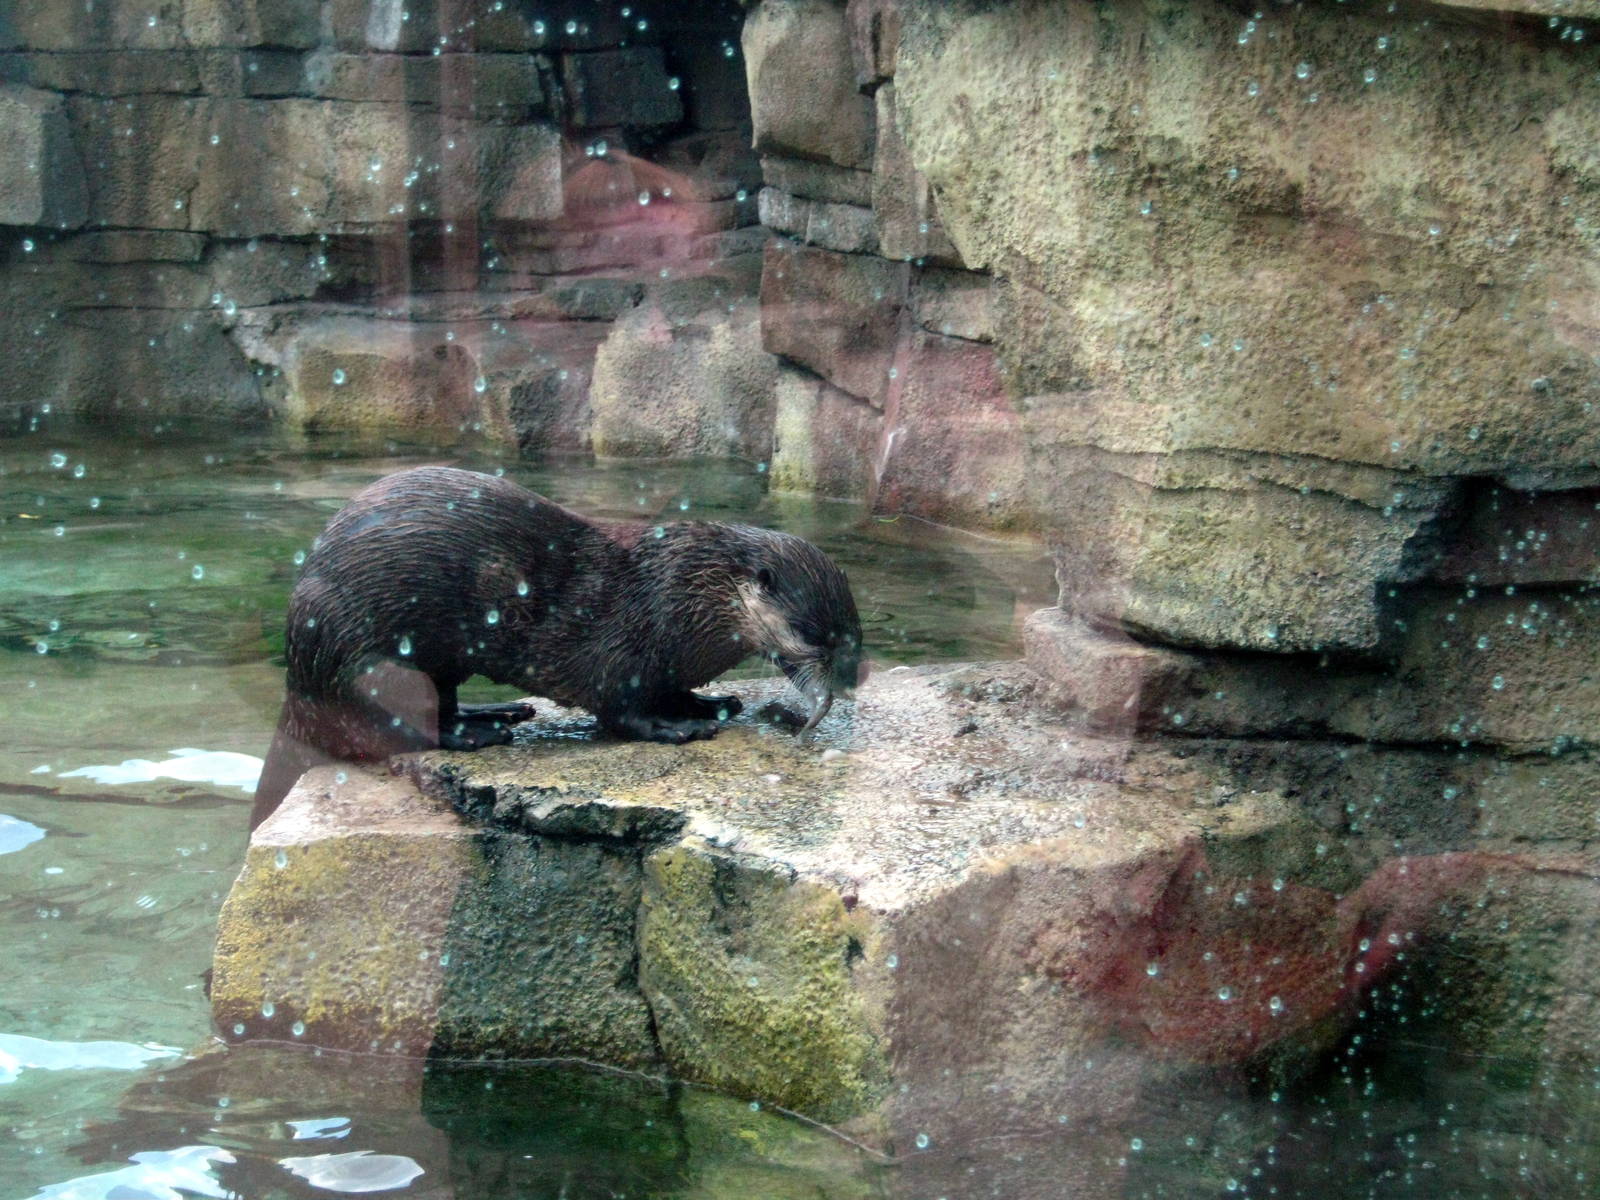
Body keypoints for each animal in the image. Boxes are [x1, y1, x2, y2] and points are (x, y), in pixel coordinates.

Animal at [250, 465, 862, 829]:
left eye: (855, 633)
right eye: (815, 634)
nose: (852, 678)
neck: (681, 591)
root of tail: (296, 678)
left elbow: (670, 689)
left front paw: (707, 702)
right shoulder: (623, 647)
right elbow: (620, 710)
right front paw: (678, 725)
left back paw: (492, 712)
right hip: (364, 653)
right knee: (392, 724)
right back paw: (473, 734)